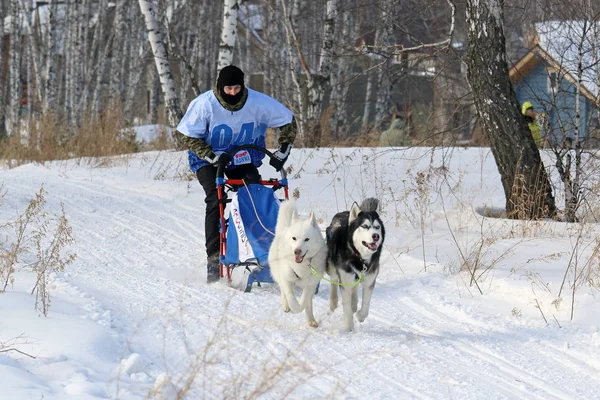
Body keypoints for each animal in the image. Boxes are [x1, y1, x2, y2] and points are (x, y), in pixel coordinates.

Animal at [268, 200, 326, 328]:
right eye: (294, 238)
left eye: (307, 239)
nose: (297, 251)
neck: (301, 266)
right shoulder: (286, 279)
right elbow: (290, 297)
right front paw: (292, 307)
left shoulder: (311, 283)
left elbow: (305, 300)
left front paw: (302, 307)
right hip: (279, 275)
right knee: (283, 291)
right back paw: (286, 306)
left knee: (309, 303)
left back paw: (311, 320)